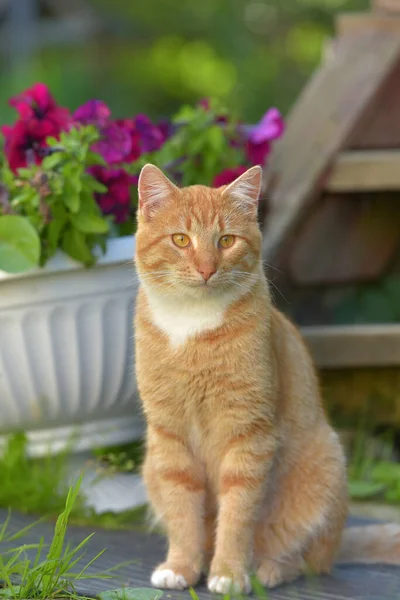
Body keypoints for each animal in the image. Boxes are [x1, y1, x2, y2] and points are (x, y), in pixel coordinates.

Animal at [134, 162, 400, 592]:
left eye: (226, 240)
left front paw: (228, 573)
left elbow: (237, 514)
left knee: (309, 560)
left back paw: (270, 568)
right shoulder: (170, 436)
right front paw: (182, 566)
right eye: (180, 239)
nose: (207, 269)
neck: (192, 327)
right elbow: (182, 510)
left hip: (325, 466)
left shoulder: (248, 434)